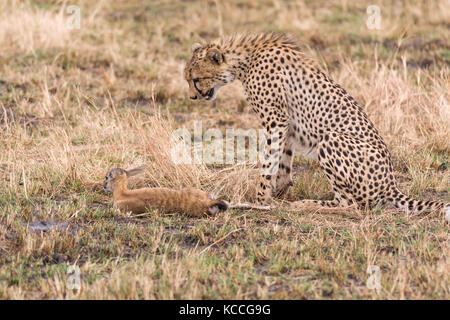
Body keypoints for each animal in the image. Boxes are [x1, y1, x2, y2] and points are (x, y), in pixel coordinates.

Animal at [184, 33, 450, 220]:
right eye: (189, 80)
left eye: (196, 79)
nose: (193, 98)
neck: (245, 60)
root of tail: (391, 184)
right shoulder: (287, 125)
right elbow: (283, 163)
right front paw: (278, 195)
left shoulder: (276, 120)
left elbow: (268, 163)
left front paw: (259, 200)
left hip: (332, 139)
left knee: (351, 205)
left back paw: (307, 205)